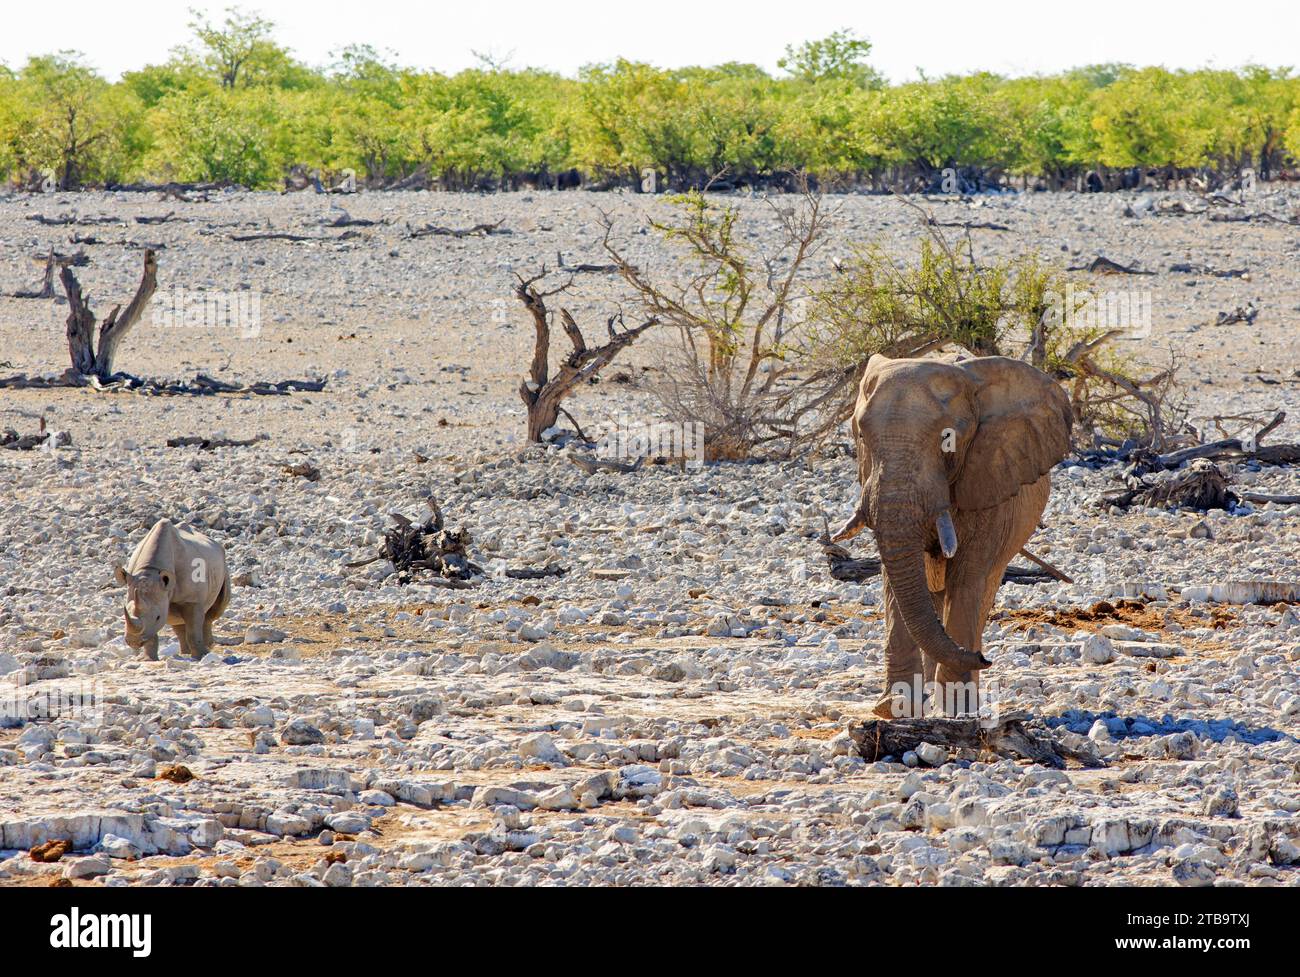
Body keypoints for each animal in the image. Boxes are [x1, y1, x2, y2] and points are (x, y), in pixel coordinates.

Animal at [832, 355, 1076, 722]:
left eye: (948, 439)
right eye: (861, 435)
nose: (984, 659)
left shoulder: (989, 479)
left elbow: (966, 578)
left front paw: (954, 710)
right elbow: (894, 579)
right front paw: (896, 708)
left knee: (980, 590)